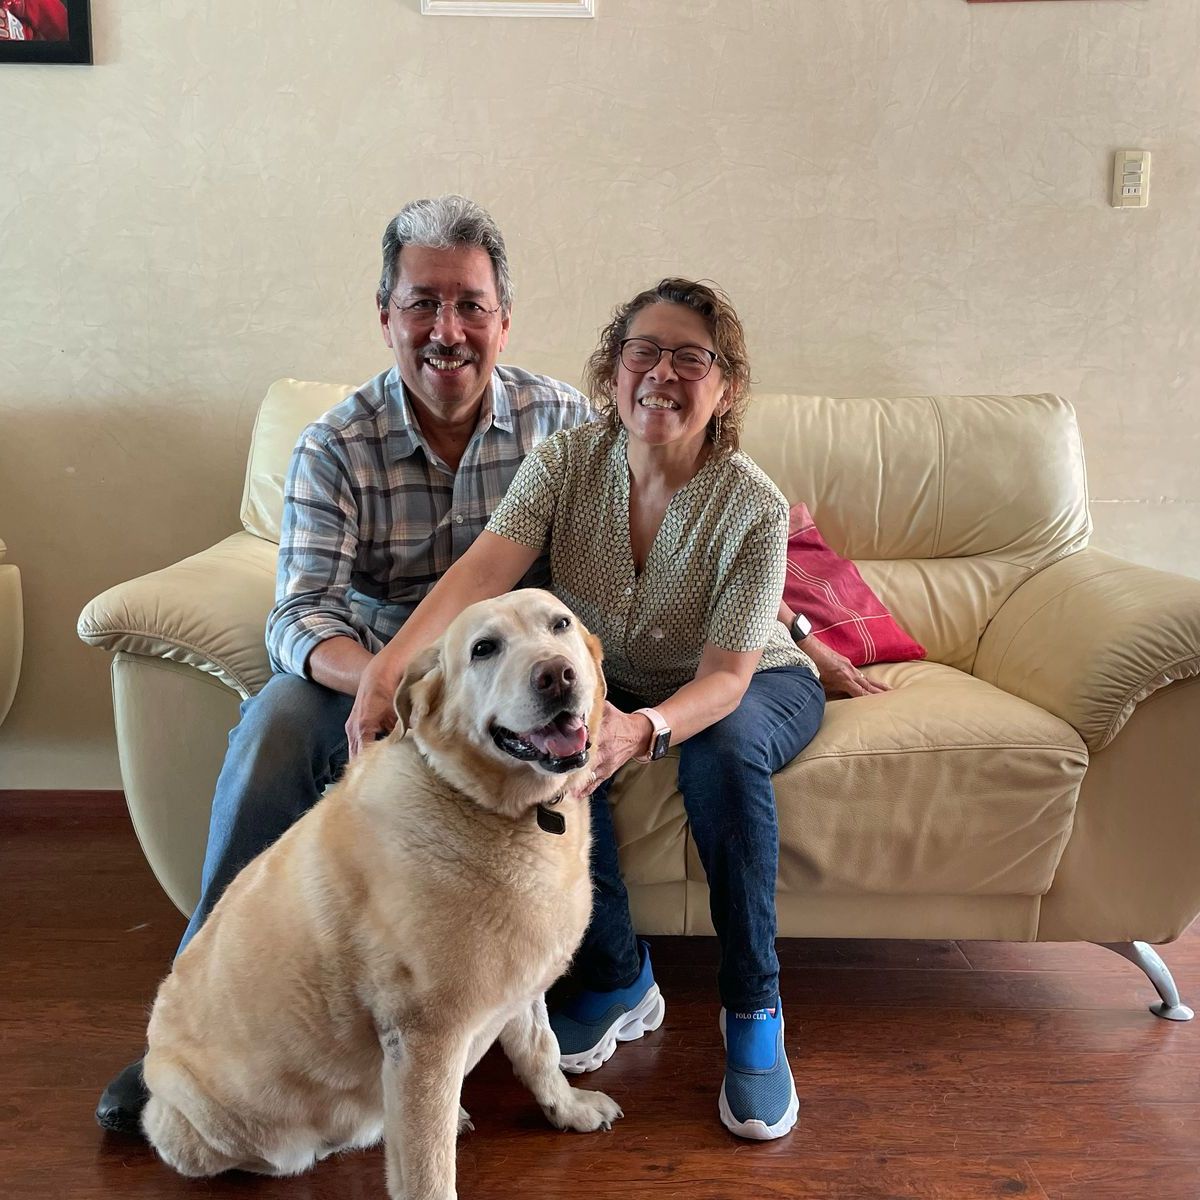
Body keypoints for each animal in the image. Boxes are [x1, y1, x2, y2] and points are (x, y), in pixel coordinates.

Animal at [141, 589, 621, 1200]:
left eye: (560, 624)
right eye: (484, 649)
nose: (556, 675)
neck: (490, 807)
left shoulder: (520, 989)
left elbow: (542, 1052)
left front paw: (568, 1109)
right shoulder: (424, 1039)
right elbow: (428, 1171)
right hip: (215, 1125)